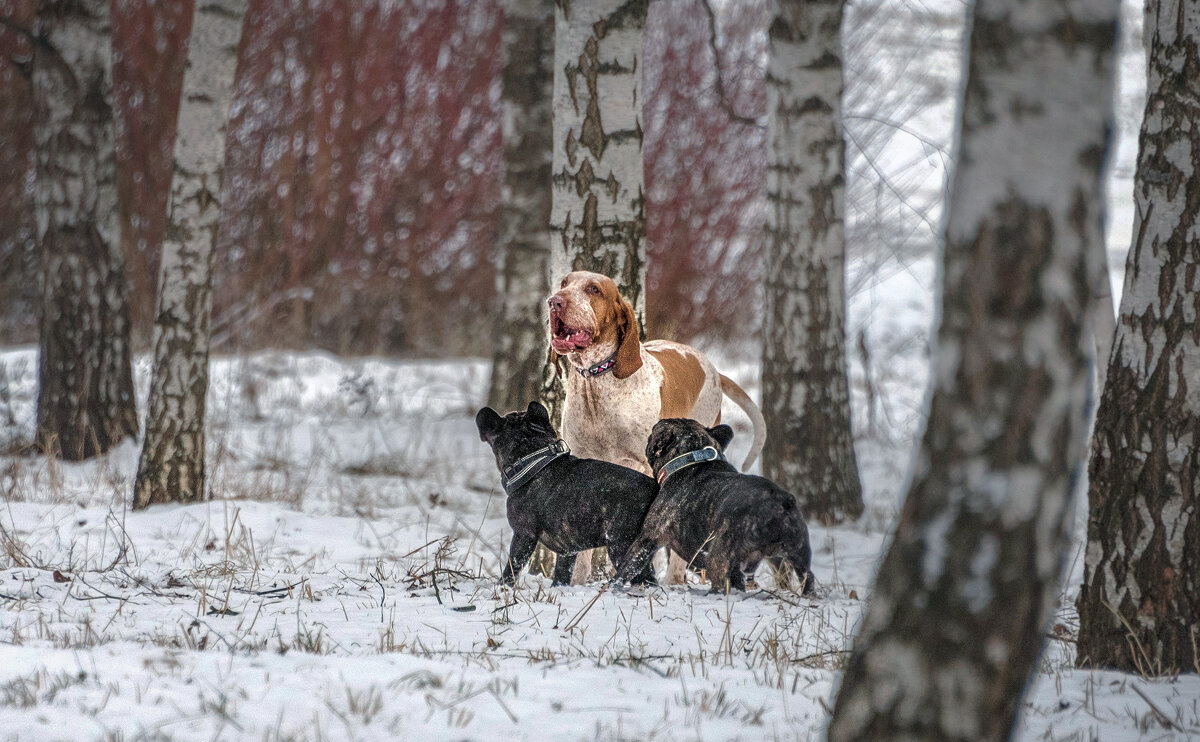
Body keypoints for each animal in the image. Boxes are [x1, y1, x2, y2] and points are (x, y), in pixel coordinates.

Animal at [549, 268, 763, 581]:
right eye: (564, 283)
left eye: (593, 289)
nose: (554, 302)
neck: (598, 385)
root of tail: (713, 369)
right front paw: (577, 582)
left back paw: (673, 580)